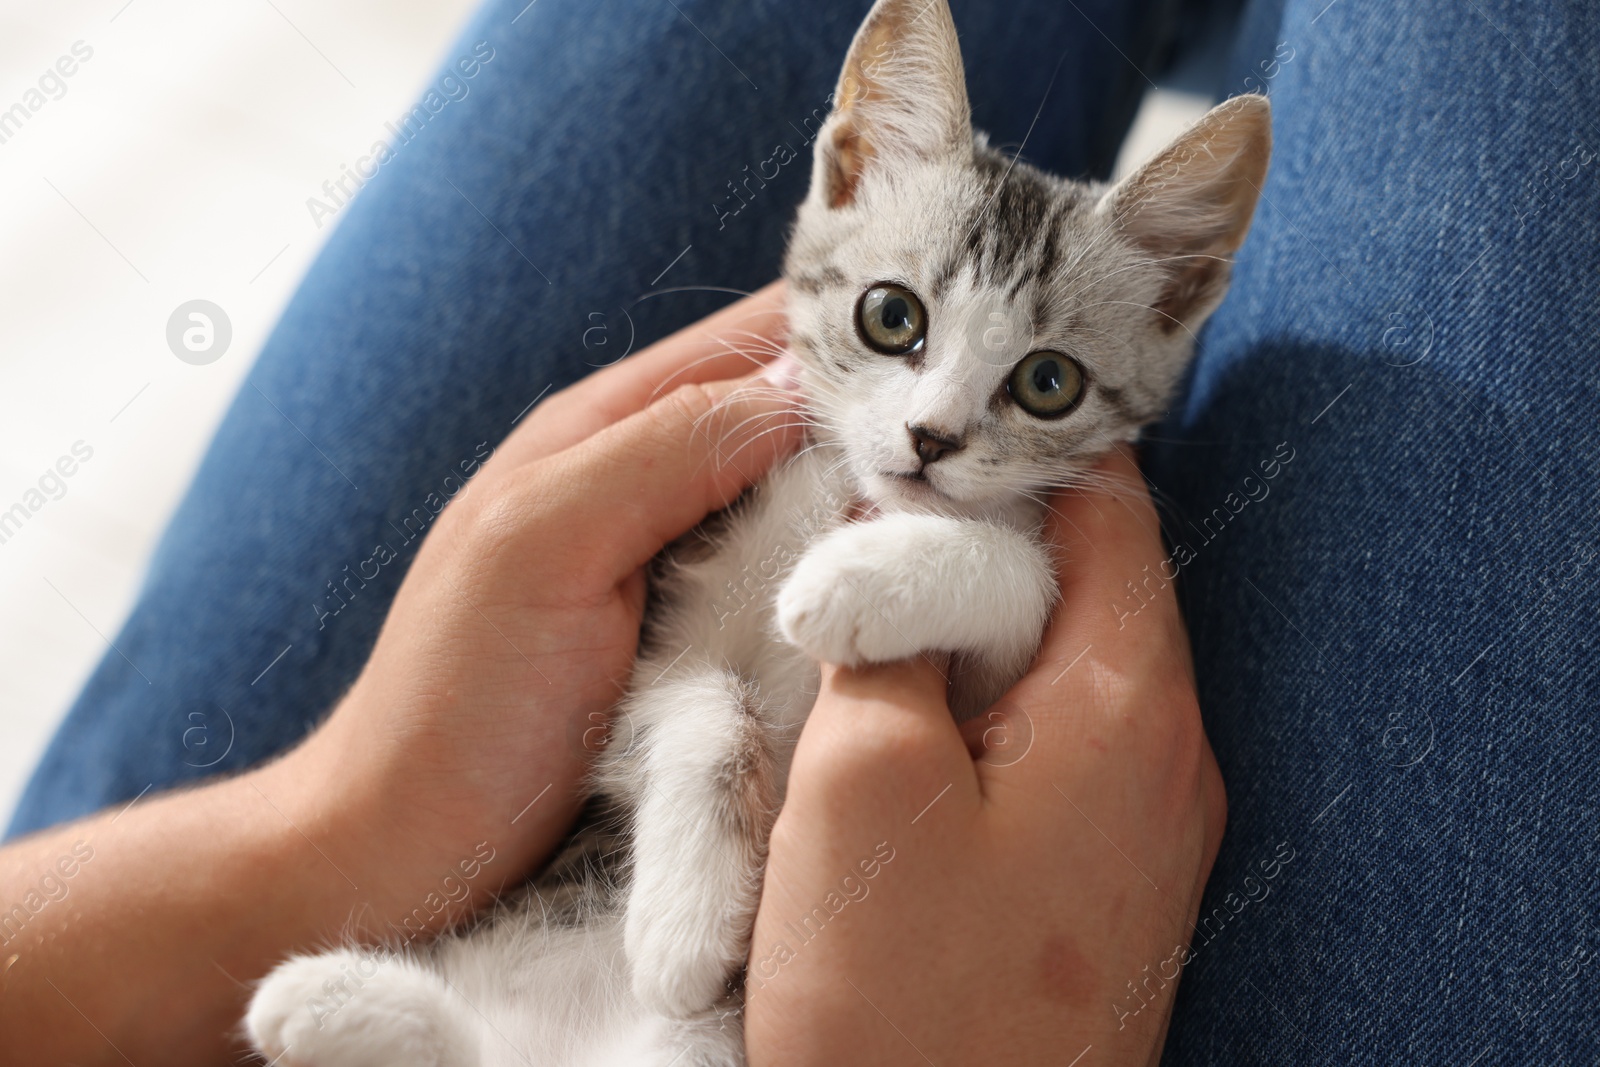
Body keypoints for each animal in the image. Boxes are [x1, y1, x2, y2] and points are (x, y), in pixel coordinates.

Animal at [243, 4, 1267, 1062]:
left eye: (1048, 382)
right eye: (891, 315)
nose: (930, 437)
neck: (847, 487)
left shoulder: (995, 684)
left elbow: (1019, 574)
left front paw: (853, 581)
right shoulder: (652, 646)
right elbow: (704, 703)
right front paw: (685, 928)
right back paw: (325, 998)